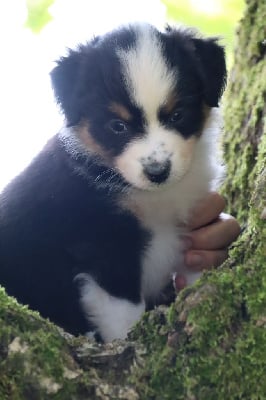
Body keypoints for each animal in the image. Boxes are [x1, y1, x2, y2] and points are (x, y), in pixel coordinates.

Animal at [0, 23, 225, 340]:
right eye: (118, 126)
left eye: (178, 115)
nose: (157, 171)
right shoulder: (104, 242)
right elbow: (123, 311)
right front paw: (127, 340)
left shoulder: (190, 219)